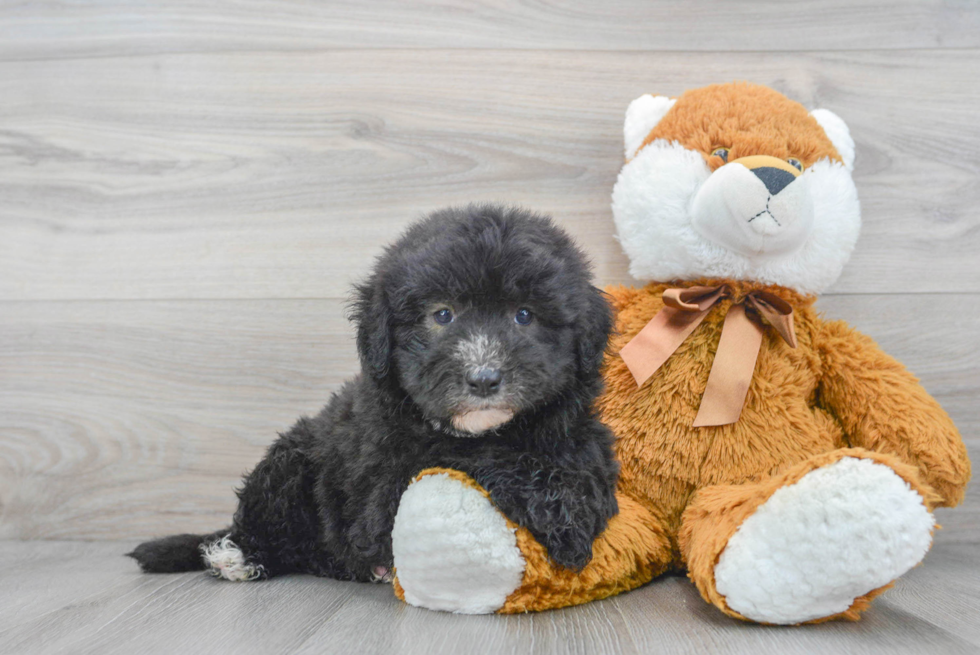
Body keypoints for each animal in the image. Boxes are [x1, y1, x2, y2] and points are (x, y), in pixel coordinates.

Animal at [129, 205, 616, 584]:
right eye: (442, 314)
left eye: (524, 315)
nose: (483, 379)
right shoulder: (389, 480)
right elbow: (478, 453)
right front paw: (565, 517)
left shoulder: (579, 428)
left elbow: (584, 458)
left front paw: (578, 503)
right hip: (289, 460)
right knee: (266, 527)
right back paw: (238, 556)